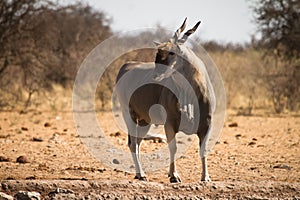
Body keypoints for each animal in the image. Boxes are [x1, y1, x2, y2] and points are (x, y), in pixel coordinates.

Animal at [115, 18, 216, 183]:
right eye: (158, 52)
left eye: (171, 52)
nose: (155, 75)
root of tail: (126, 66)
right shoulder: (170, 123)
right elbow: (173, 147)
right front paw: (174, 176)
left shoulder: (207, 124)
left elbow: (203, 149)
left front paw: (205, 177)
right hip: (128, 114)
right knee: (132, 143)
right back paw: (141, 174)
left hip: (144, 121)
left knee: (137, 142)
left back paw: (139, 173)